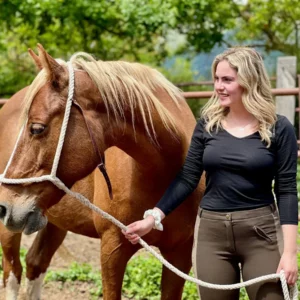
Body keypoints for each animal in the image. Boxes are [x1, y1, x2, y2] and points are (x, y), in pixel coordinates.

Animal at [0, 45, 205, 300]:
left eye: (37, 128)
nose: (5, 206)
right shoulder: (112, 249)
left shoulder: (179, 255)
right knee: (12, 272)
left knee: (35, 263)